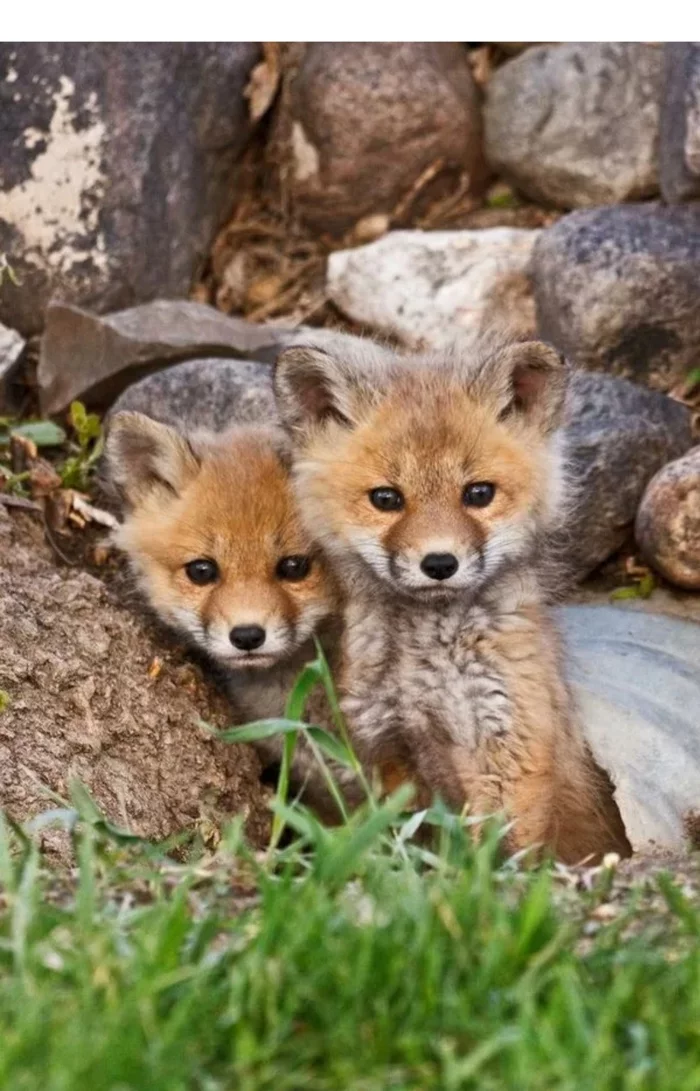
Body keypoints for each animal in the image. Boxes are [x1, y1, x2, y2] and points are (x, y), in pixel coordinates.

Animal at [274, 333, 631, 863]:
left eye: (478, 493)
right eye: (386, 499)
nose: (439, 563)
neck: (424, 669)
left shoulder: (507, 739)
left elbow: (503, 850)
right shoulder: (388, 742)